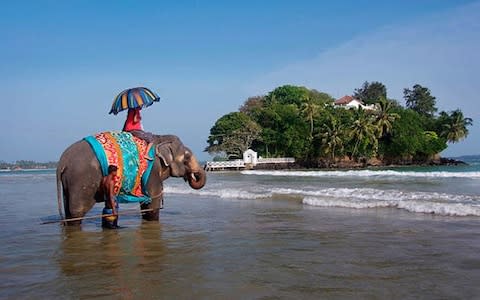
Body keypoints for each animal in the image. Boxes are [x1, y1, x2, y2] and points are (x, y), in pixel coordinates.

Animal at [56, 134, 206, 225]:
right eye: (187, 156)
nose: (193, 175)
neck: (159, 138)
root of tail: (62, 160)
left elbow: (146, 205)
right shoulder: (152, 172)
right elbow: (152, 204)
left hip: (69, 183)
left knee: (68, 210)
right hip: (81, 181)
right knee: (77, 211)